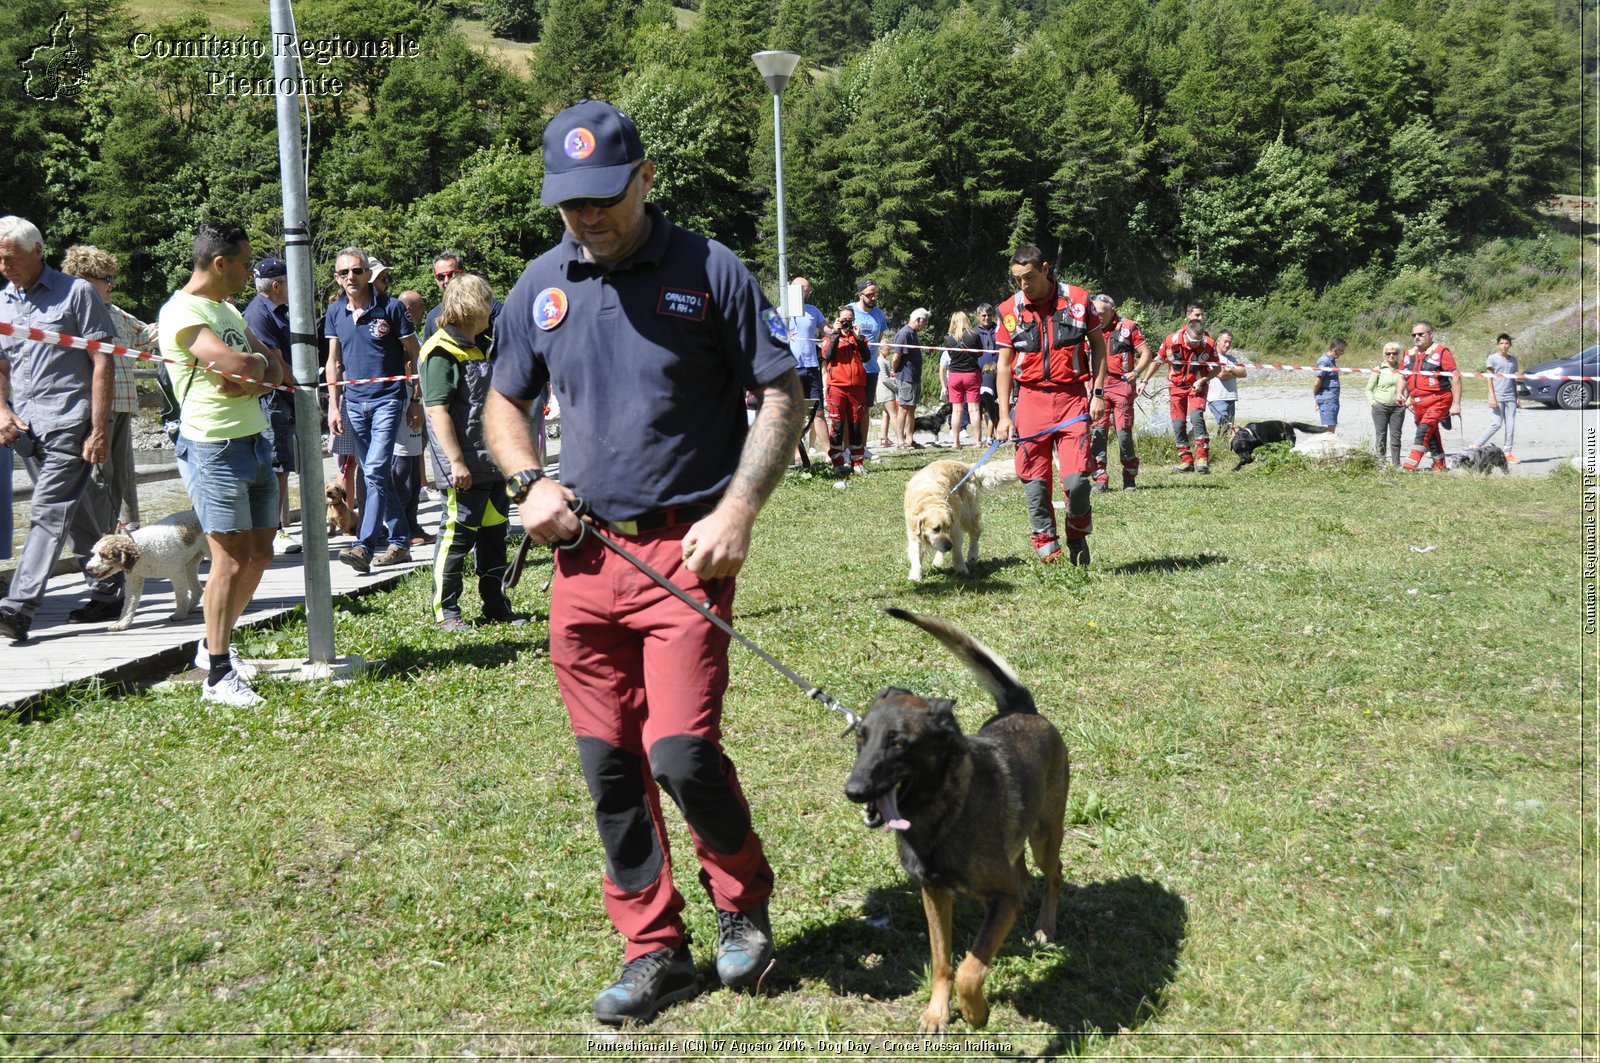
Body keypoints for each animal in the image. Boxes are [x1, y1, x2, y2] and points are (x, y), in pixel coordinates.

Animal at [844, 611, 1068, 1030]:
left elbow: (970, 968)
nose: (854, 790)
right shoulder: (933, 891)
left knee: (1053, 873)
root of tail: (1023, 709)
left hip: (1045, 835)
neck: (941, 811)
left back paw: (1045, 926)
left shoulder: (1001, 901)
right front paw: (937, 1012)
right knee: (1020, 865)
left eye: (898, 743)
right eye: (860, 738)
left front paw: (975, 1011)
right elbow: (943, 960)